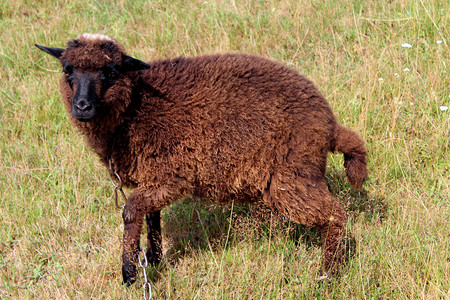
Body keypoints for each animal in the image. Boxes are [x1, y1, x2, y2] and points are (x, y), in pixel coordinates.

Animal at [34, 33, 366, 286]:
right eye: (67, 70)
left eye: (111, 72)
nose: (82, 106)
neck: (135, 108)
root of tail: (329, 124)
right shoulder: (154, 174)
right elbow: (151, 215)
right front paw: (153, 258)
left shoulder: (173, 176)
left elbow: (131, 211)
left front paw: (129, 272)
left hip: (291, 176)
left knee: (335, 215)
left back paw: (327, 275)